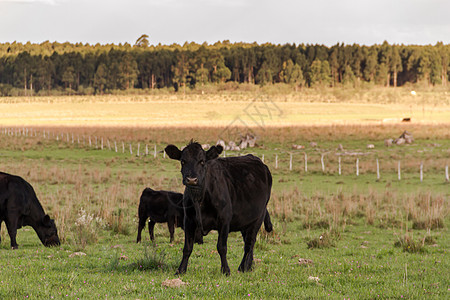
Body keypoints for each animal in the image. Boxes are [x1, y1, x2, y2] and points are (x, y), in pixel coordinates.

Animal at [164, 142, 272, 276]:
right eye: (183, 161)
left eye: (202, 161)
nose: (191, 179)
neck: (200, 199)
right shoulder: (188, 220)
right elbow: (187, 248)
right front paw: (181, 270)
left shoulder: (224, 220)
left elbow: (221, 247)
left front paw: (225, 270)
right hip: (245, 221)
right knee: (249, 243)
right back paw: (249, 266)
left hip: (258, 217)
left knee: (249, 243)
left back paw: (243, 267)